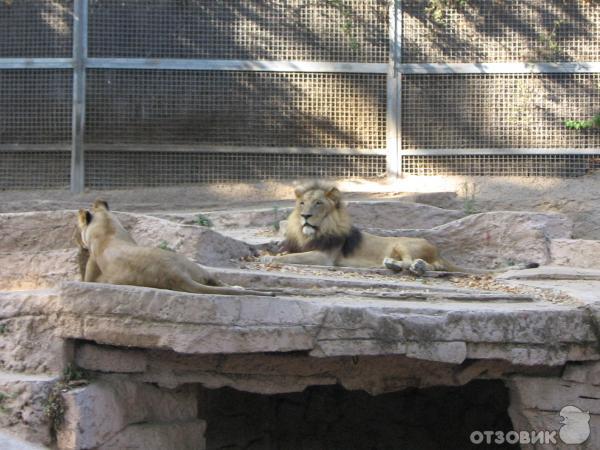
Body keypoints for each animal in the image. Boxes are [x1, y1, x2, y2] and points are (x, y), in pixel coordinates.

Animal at [77, 200, 272, 296]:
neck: (108, 229)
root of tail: (175, 273)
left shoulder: (91, 272)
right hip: (195, 268)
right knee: (217, 281)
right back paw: (240, 288)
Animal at [260, 182, 536, 274]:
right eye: (302, 203)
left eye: (318, 203)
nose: (305, 216)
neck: (312, 232)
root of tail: (439, 251)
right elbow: (284, 251)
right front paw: (267, 251)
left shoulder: (324, 256)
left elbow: (293, 257)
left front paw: (266, 258)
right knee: (427, 266)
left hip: (402, 242)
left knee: (420, 264)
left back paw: (407, 266)